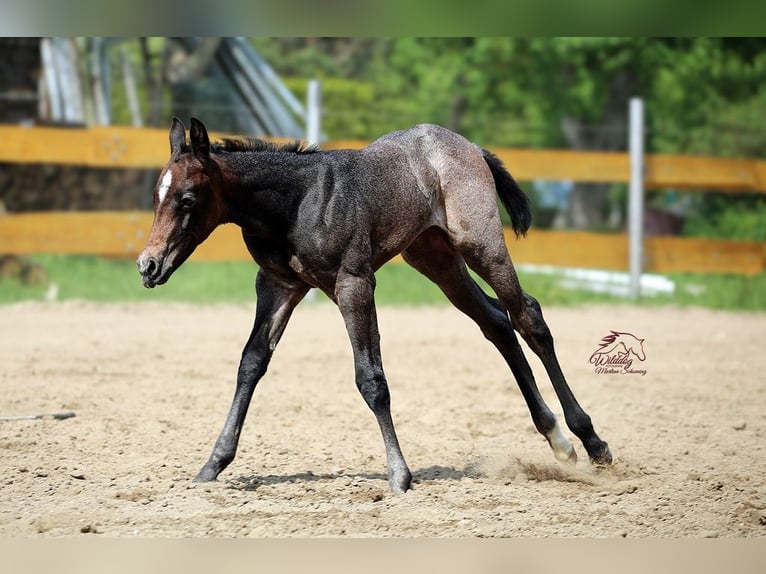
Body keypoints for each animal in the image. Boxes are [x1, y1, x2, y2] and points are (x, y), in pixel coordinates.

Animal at [136, 117, 612, 493]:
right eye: (156, 196)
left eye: (187, 199)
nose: (148, 265)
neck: (295, 202)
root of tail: (469, 147)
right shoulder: (277, 285)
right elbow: (250, 363)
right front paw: (213, 464)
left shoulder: (355, 284)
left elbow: (371, 379)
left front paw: (399, 474)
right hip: (435, 259)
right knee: (496, 322)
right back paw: (558, 440)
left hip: (481, 245)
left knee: (528, 318)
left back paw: (590, 442)